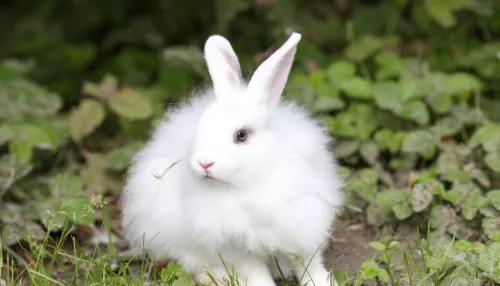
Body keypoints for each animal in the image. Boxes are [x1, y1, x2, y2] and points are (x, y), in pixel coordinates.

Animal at [121, 32, 344, 284]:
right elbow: (255, 271)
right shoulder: (234, 246)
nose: (205, 163)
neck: (248, 186)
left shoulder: (305, 225)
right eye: (200, 127)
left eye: (241, 135)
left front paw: (321, 282)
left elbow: (309, 263)